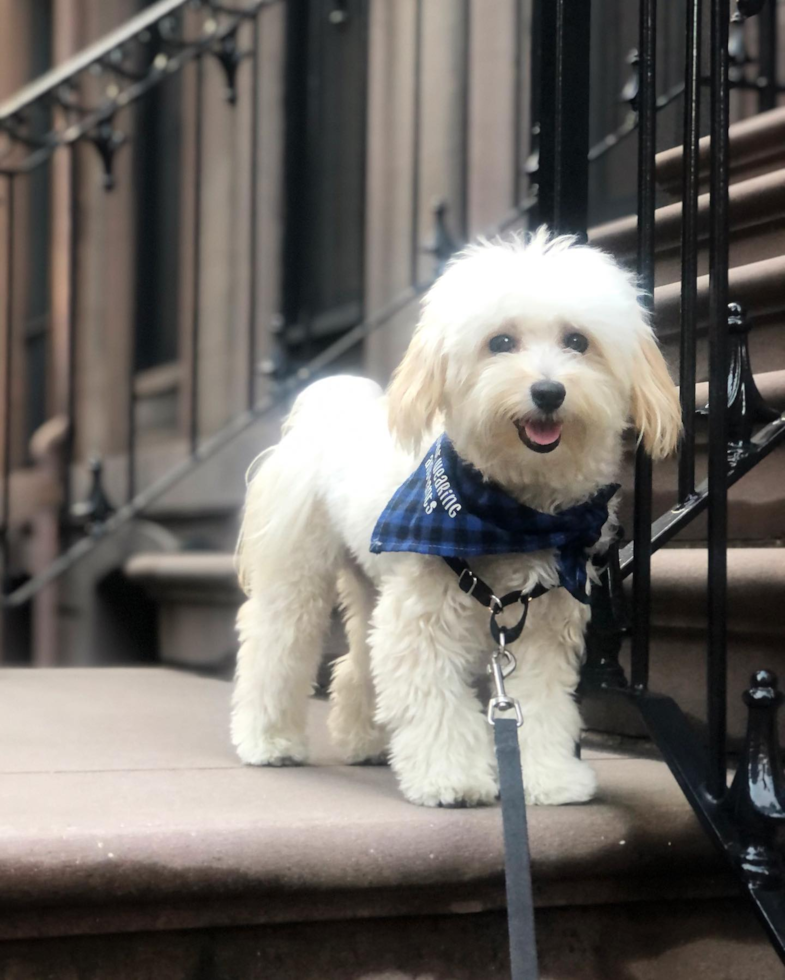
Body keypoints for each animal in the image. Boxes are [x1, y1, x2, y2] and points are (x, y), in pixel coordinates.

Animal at [231, 234, 680, 808]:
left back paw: (364, 740)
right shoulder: (422, 618)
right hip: (298, 573)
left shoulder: (544, 625)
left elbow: (542, 702)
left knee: (358, 663)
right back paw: (268, 741)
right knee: (277, 647)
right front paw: (452, 778)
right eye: (500, 342)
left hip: (373, 585)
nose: (549, 392)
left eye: (578, 341)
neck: (518, 514)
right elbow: (435, 700)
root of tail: (323, 415)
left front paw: (548, 778)